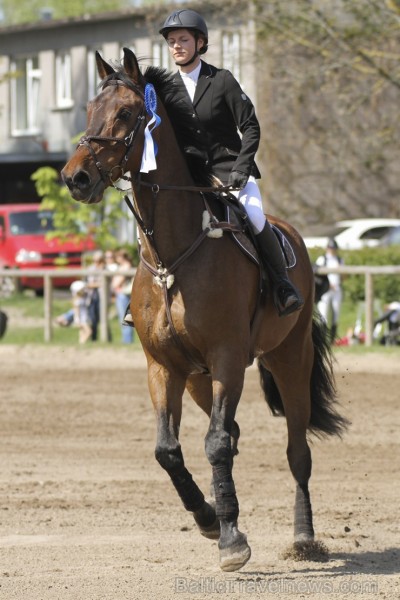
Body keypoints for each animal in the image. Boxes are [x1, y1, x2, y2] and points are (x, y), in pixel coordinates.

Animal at [61, 48, 348, 572]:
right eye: (90, 109)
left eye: (126, 114)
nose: (76, 179)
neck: (172, 257)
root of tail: (292, 234)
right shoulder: (163, 367)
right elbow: (168, 451)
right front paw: (210, 518)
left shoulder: (228, 358)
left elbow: (214, 444)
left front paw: (232, 542)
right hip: (198, 379)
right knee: (229, 433)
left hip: (289, 359)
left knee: (296, 450)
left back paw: (304, 538)